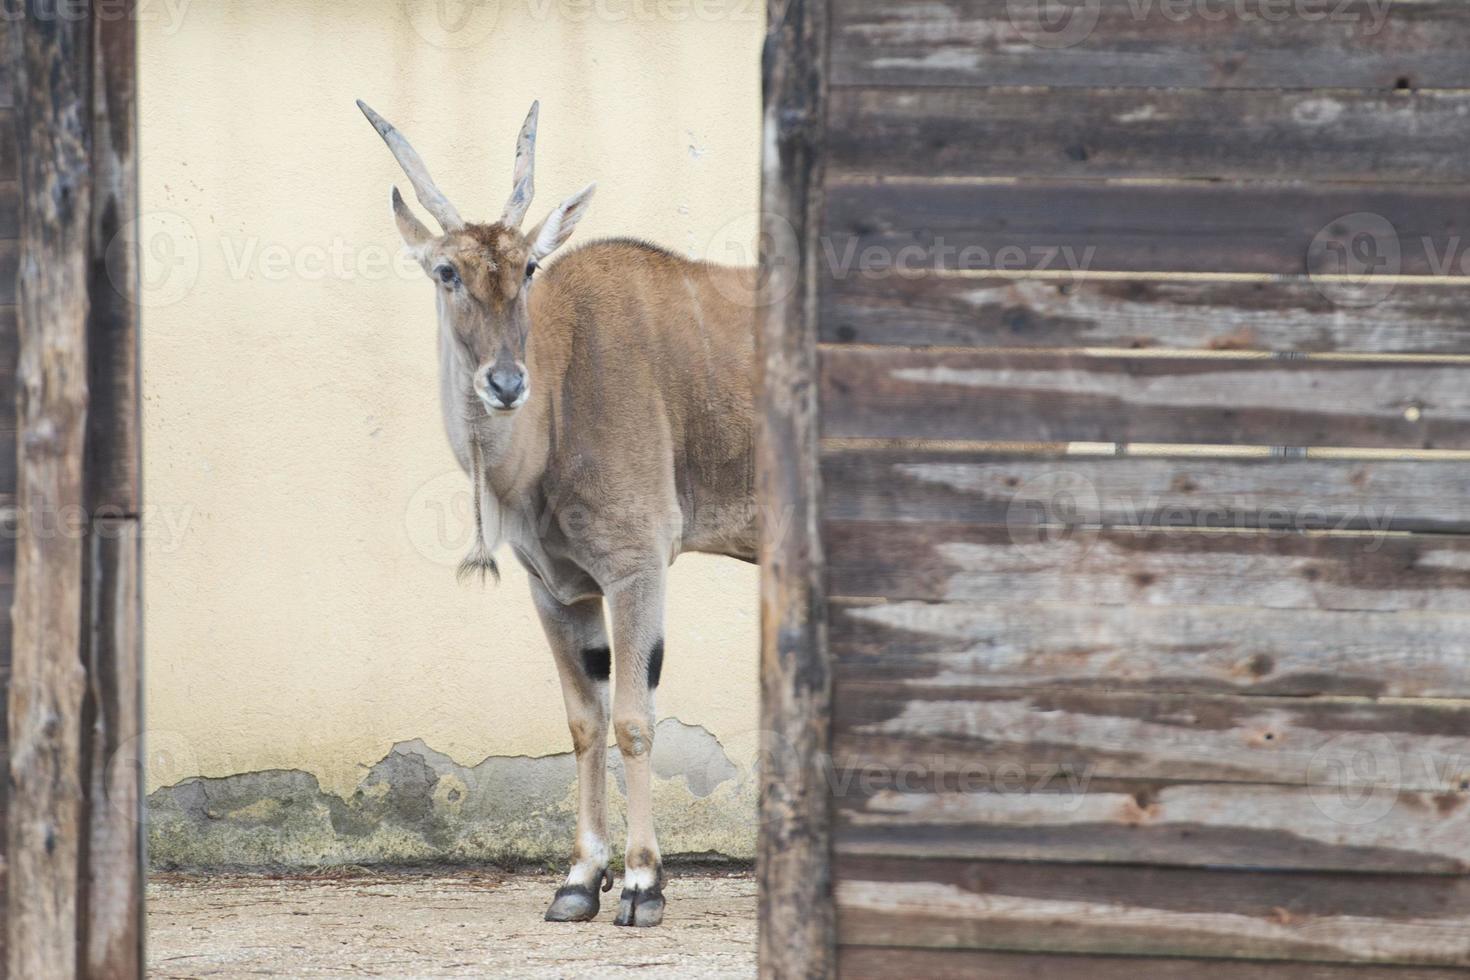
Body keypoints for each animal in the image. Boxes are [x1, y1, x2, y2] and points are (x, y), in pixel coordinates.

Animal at [358, 103, 758, 934]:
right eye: (448, 271)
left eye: (529, 270)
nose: (506, 383)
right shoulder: (558, 590)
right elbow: (584, 722)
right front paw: (579, 878)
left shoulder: (637, 568)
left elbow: (635, 719)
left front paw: (641, 885)